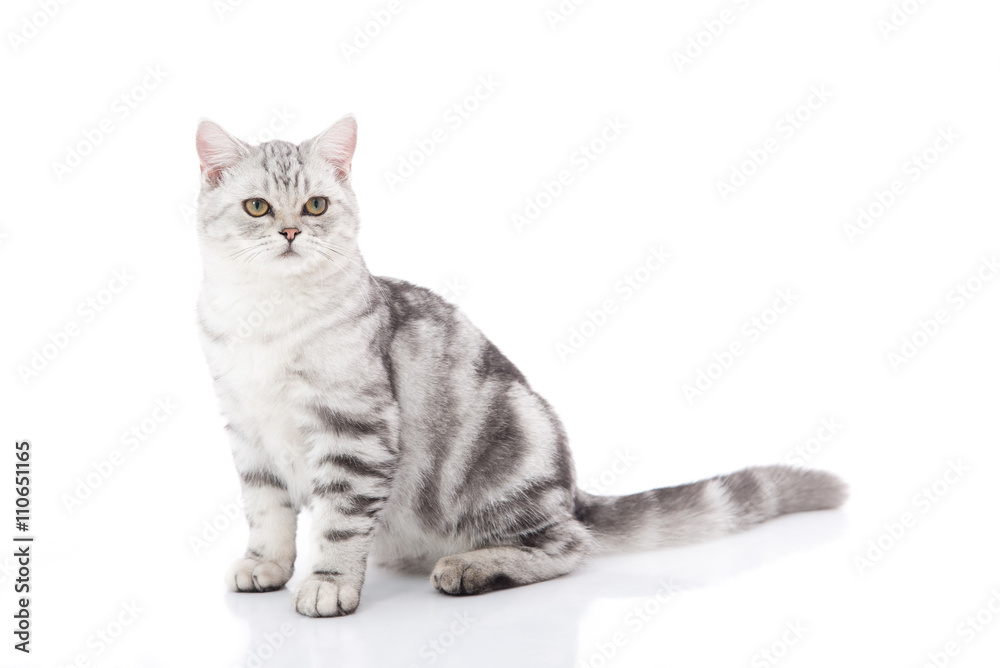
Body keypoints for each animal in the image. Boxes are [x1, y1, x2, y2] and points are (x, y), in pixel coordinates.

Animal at [193, 113, 844, 616]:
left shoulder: (354, 430)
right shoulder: (247, 433)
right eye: (257, 207)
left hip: (507, 463)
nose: (290, 231)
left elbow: (339, 523)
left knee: (569, 545)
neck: (266, 318)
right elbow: (266, 513)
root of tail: (571, 491)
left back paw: (471, 568)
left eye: (315, 204)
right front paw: (265, 566)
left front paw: (327, 585)